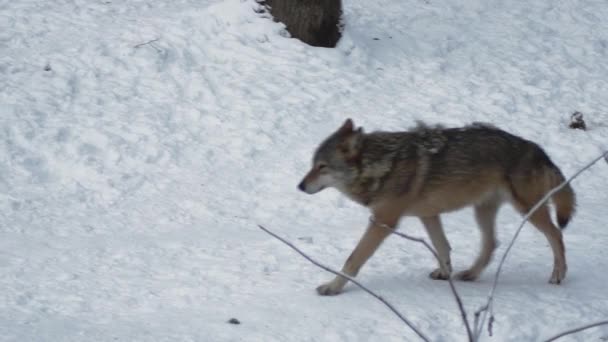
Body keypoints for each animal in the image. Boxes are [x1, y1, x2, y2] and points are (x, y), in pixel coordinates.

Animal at [298, 119, 576, 296]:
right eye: (312, 165)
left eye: (322, 167)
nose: (300, 186)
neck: (380, 166)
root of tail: (538, 149)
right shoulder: (429, 215)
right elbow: (443, 247)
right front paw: (445, 273)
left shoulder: (382, 222)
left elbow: (353, 259)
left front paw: (332, 287)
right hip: (483, 211)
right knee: (491, 244)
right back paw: (470, 274)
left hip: (527, 209)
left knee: (556, 234)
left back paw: (558, 274)